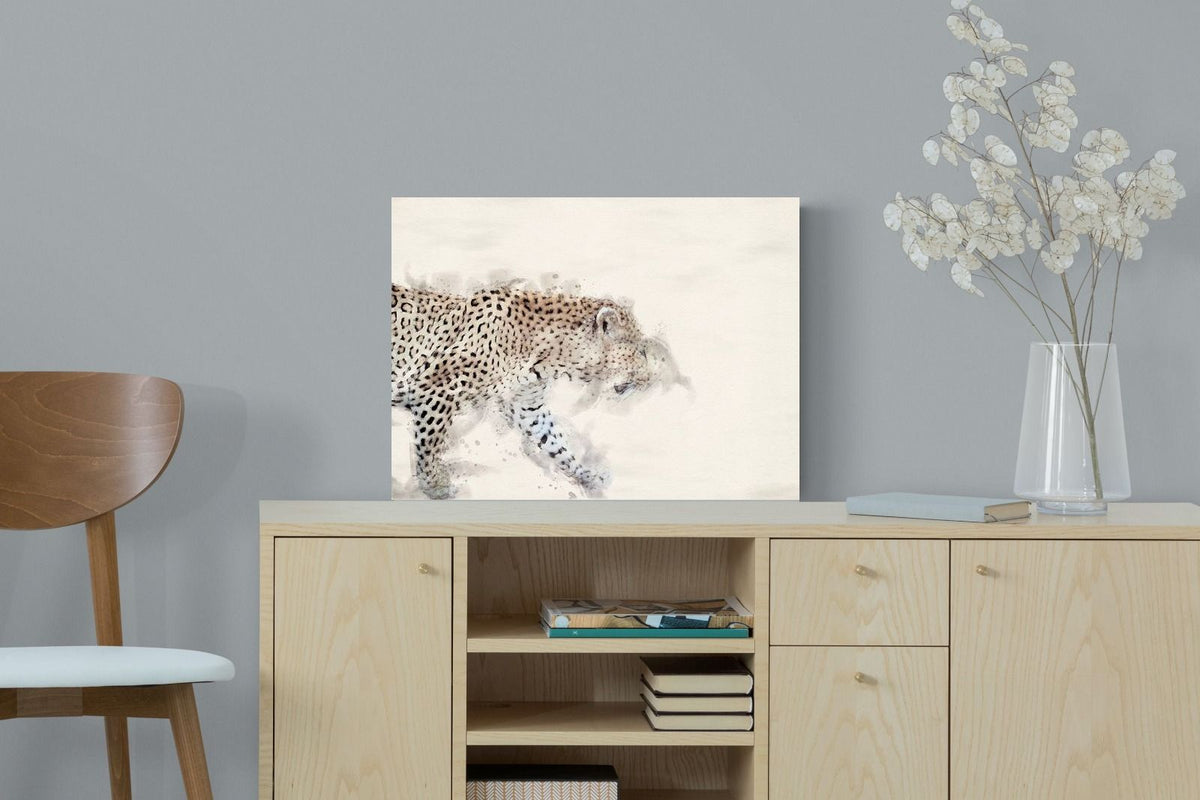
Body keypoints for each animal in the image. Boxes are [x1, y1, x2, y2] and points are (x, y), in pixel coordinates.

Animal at [391, 282, 677, 498]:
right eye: (640, 352)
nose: (650, 379)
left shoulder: (526, 405)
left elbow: (555, 442)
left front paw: (588, 476)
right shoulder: (436, 389)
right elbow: (429, 444)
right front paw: (434, 485)